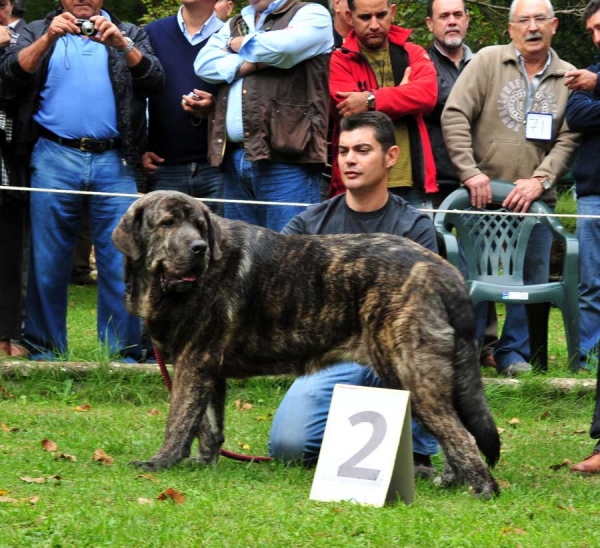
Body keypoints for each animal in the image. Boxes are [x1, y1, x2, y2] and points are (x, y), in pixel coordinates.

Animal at [111, 189, 502, 496]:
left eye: (199, 225)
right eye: (167, 223)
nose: (199, 248)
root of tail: (440, 268)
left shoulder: (191, 365)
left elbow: (179, 421)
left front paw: (161, 462)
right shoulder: (207, 370)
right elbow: (208, 426)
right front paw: (203, 464)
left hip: (411, 375)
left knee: (460, 434)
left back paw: (483, 489)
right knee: (456, 430)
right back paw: (453, 480)